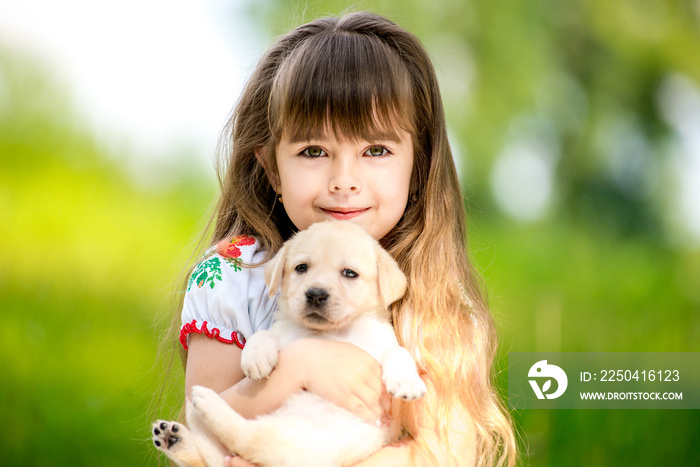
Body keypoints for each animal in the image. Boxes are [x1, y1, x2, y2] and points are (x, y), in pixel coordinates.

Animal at [153, 222, 426, 467]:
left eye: (350, 273)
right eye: (301, 268)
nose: (316, 294)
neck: (330, 332)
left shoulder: (382, 345)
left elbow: (399, 353)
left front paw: (407, 382)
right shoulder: (283, 333)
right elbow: (263, 336)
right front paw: (256, 358)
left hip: (297, 442)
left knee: (241, 438)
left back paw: (195, 414)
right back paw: (176, 434)